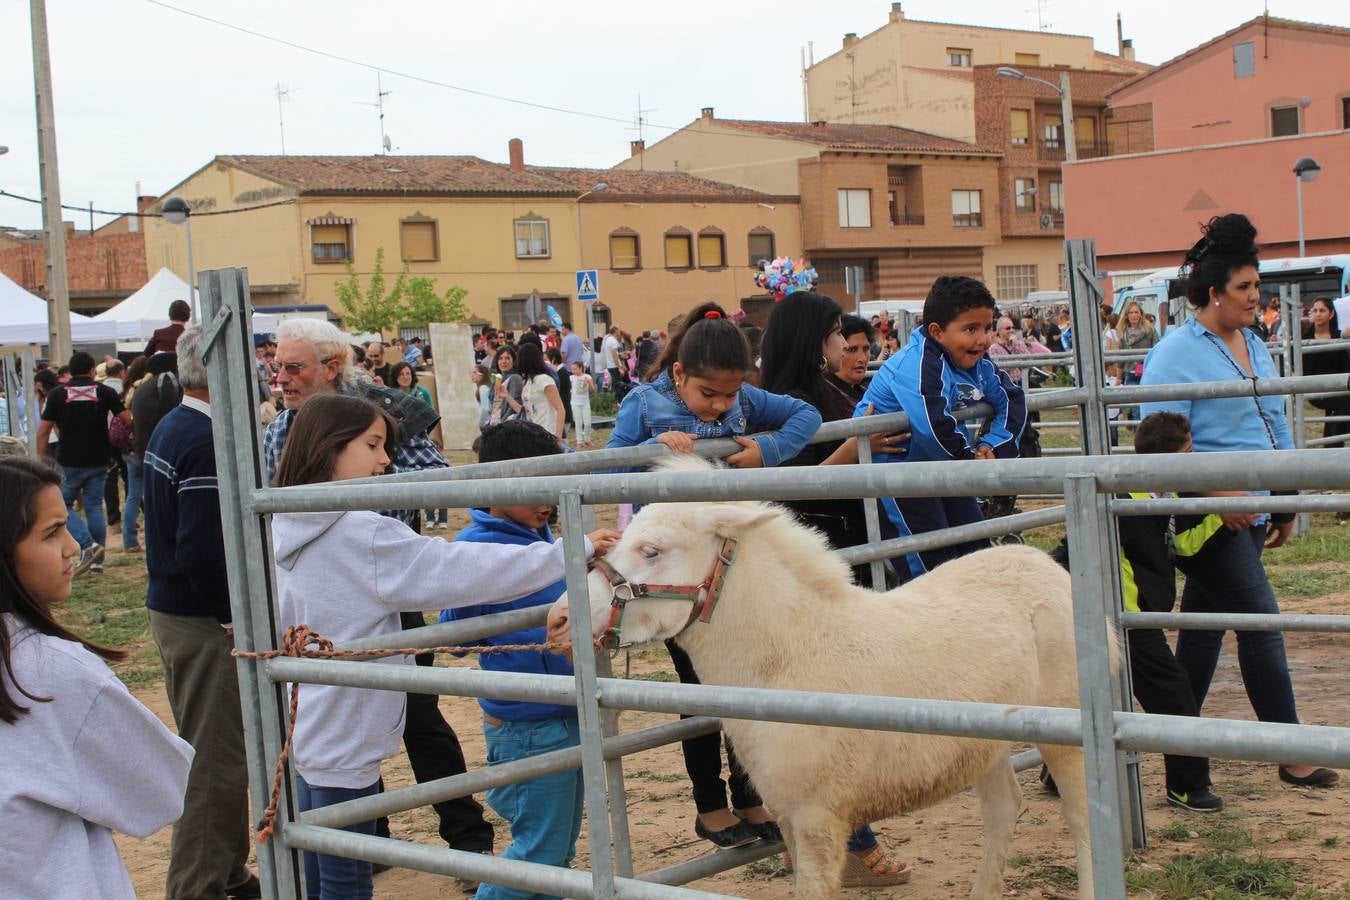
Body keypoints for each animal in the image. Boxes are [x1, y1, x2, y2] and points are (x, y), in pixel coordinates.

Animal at [548, 461, 1107, 895]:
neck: (790, 659)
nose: (558, 620)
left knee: (1084, 818)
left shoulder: (819, 819)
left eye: (652, 551)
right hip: (982, 743)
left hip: (1065, 732)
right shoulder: (787, 816)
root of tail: (1045, 566)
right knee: (1003, 809)